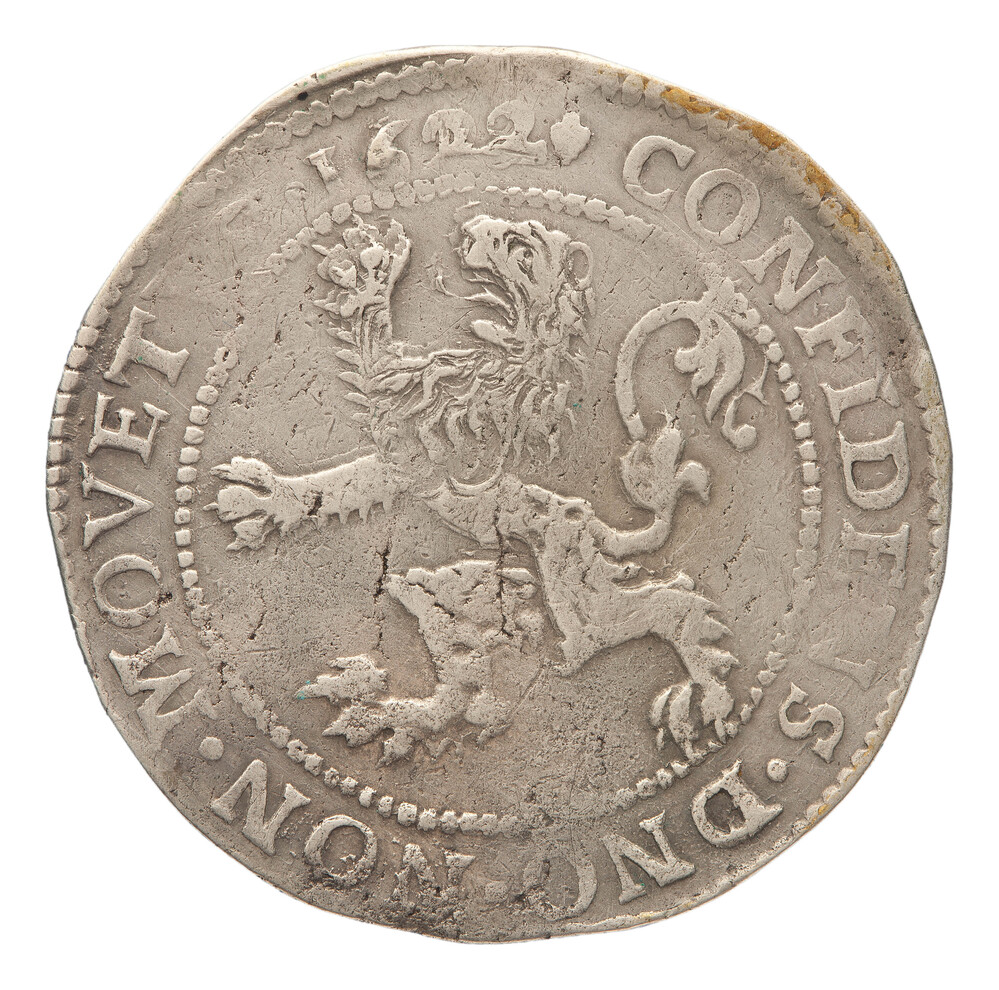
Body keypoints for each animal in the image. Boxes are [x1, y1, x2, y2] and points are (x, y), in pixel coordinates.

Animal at [211, 213, 738, 762]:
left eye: (519, 245)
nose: (475, 227)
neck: (497, 359)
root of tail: (589, 521)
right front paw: (368, 268)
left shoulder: (410, 447)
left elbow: (358, 422)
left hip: (569, 583)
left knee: (645, 613)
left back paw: (701, 693)